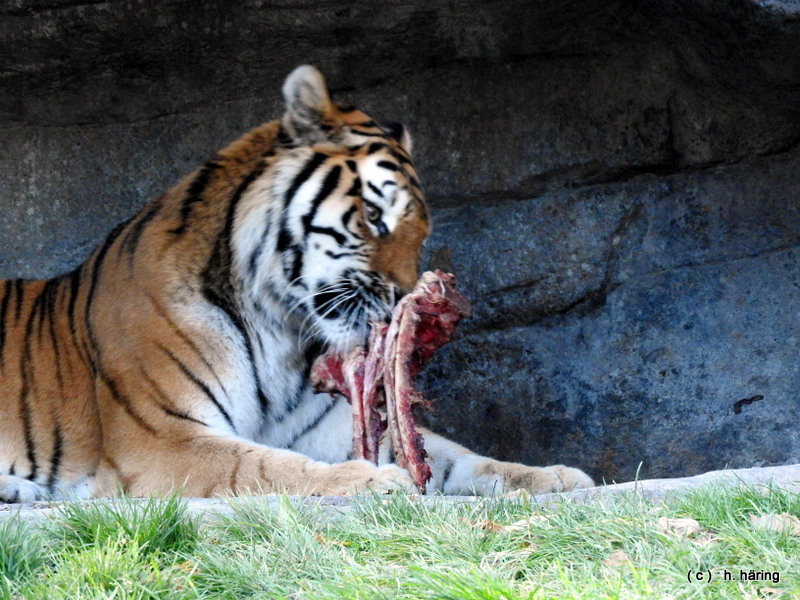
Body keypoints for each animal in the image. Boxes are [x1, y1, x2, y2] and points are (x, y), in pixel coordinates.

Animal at [0, 64, 592, 502]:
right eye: (375, 218)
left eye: (421, 231)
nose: (403, 298)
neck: (278, 326)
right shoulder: (162, 439)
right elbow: (265, 467)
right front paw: (371, 479)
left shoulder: (320, 423)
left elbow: (451, 453)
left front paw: (552, 476)